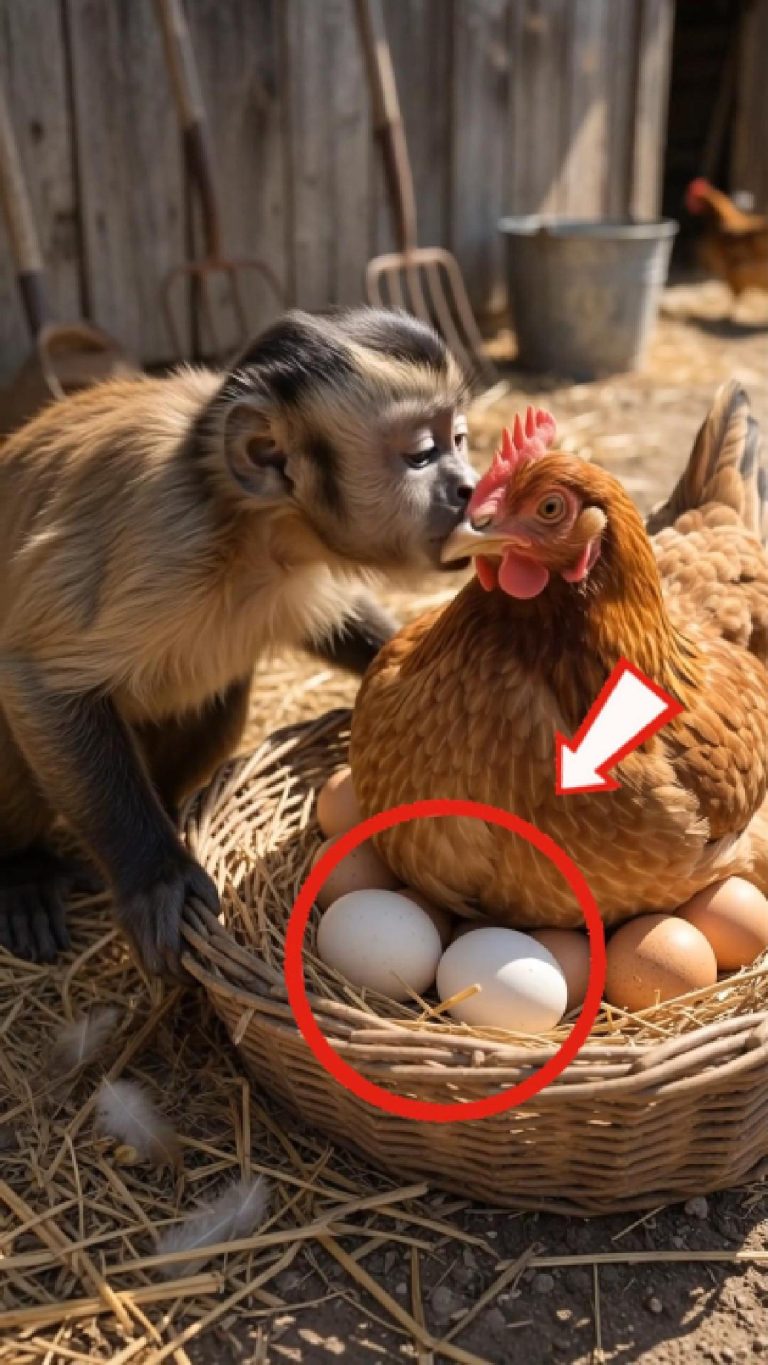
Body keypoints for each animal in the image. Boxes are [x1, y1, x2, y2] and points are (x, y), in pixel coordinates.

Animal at [0, 306, 476, 976]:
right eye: (422, 455)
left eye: (459, 440)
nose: (469, 487)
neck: (247, 520)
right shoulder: (163, 529)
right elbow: (38, 679)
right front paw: (157, 878)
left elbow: (344, 626)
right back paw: (21, 868)